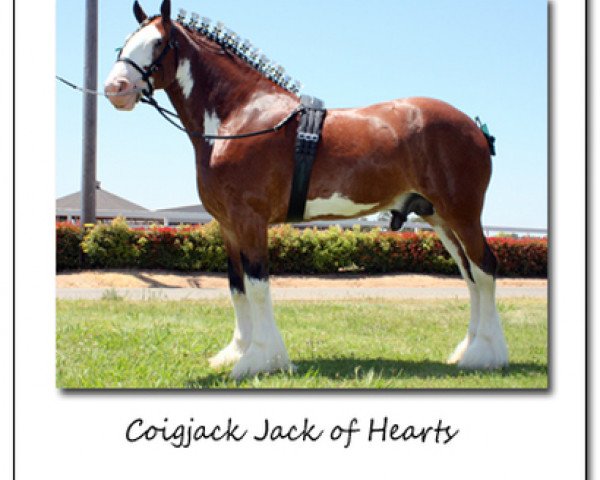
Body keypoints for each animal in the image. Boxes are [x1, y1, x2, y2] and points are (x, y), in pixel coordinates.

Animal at [103, 0, 506, 380]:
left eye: (158, 43)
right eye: (123, 44)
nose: (115, 89)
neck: (241, 116)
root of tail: (474, 127)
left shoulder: (250, 220)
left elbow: (257, 284)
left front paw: (262, 359)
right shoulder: (228, 225)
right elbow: (236, 286)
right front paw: (236, 352)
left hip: (462, 213)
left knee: (484, 269)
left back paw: (485, 356)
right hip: (439, 218)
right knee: (469, 275)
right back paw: (468, 349)